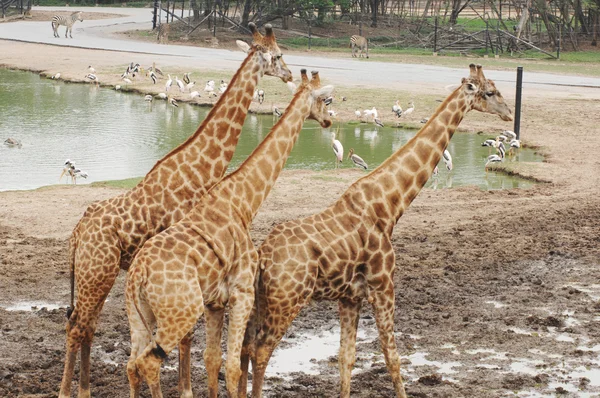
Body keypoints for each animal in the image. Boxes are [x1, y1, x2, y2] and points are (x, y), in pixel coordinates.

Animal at [58, 23, 292, 398]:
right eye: (279, 55)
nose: (289, 75)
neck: (200, 168)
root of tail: (78, 234)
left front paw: (185, 387)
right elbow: (187, 336)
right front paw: (186, 390)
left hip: (93, 274)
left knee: (85, 324)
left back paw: (84, 389)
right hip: (98, 272)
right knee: (78, 326)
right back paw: (68, 391)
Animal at [125, 69, 332, 398]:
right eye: (326, 99)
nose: (328, 121)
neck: (243, 201)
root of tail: (138, 274)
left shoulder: (214, 302)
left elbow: (212, 359)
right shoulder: (242, 293)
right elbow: (232, 367)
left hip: (138, 313)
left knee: (132, 364)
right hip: (180, 312)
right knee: (149, 363)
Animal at [241, 63, 512, 396]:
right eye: (491, 92)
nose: (509, 113)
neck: (388, 206)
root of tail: (264, 257)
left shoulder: (350, 296)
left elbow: (346, 358)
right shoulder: (383, 286)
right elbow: (392, 357)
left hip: (261, 300)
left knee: (243, 350)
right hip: (287, 300)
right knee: (261, 350)